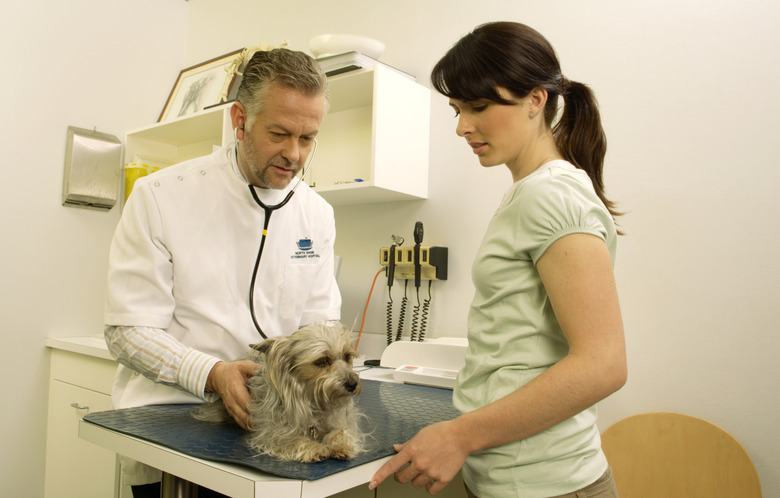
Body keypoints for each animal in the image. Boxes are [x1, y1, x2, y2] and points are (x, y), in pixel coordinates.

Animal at [193, 322, 368, 462]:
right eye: (322, 361)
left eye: (347, 356)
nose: (352, 384)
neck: (313, 399)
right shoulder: (271, 433)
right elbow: (292, 440)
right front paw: (313, 448)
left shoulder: (342, 422)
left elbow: (341, 431)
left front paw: (340, 445)